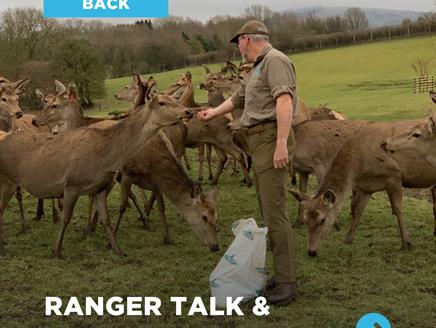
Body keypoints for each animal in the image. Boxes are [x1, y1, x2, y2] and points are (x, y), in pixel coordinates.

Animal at [0, 73, 192, 258]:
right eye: (162, 102)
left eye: (55, 105)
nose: (188, 111)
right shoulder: (77, 182)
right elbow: (72, 214)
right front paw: (62, 246)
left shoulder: (102, 183)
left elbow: (103, 214)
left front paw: (113, 246)